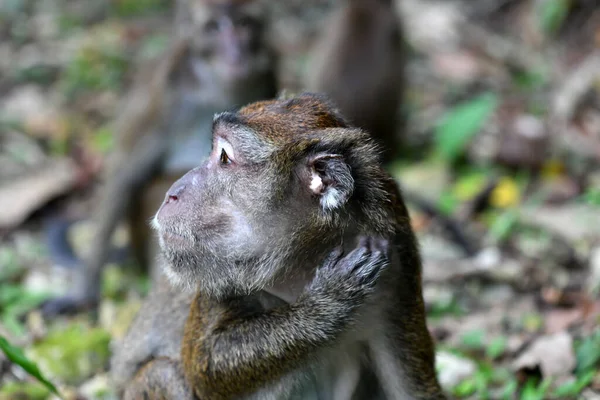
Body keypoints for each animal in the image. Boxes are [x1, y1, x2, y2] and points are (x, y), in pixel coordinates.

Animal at [41, 0, 276, 316]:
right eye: (213, 27)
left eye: (244, 24)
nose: (236, 52)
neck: (215, 84)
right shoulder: (162, 100)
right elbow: (125, 175)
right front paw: (82, 293)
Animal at [117, 92, 446, 398]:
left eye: (224, 157)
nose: (172, 192)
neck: (306, 261)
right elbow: (204, 365)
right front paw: (321, 308)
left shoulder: (397, 265)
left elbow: (414, 391)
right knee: (161, 375)